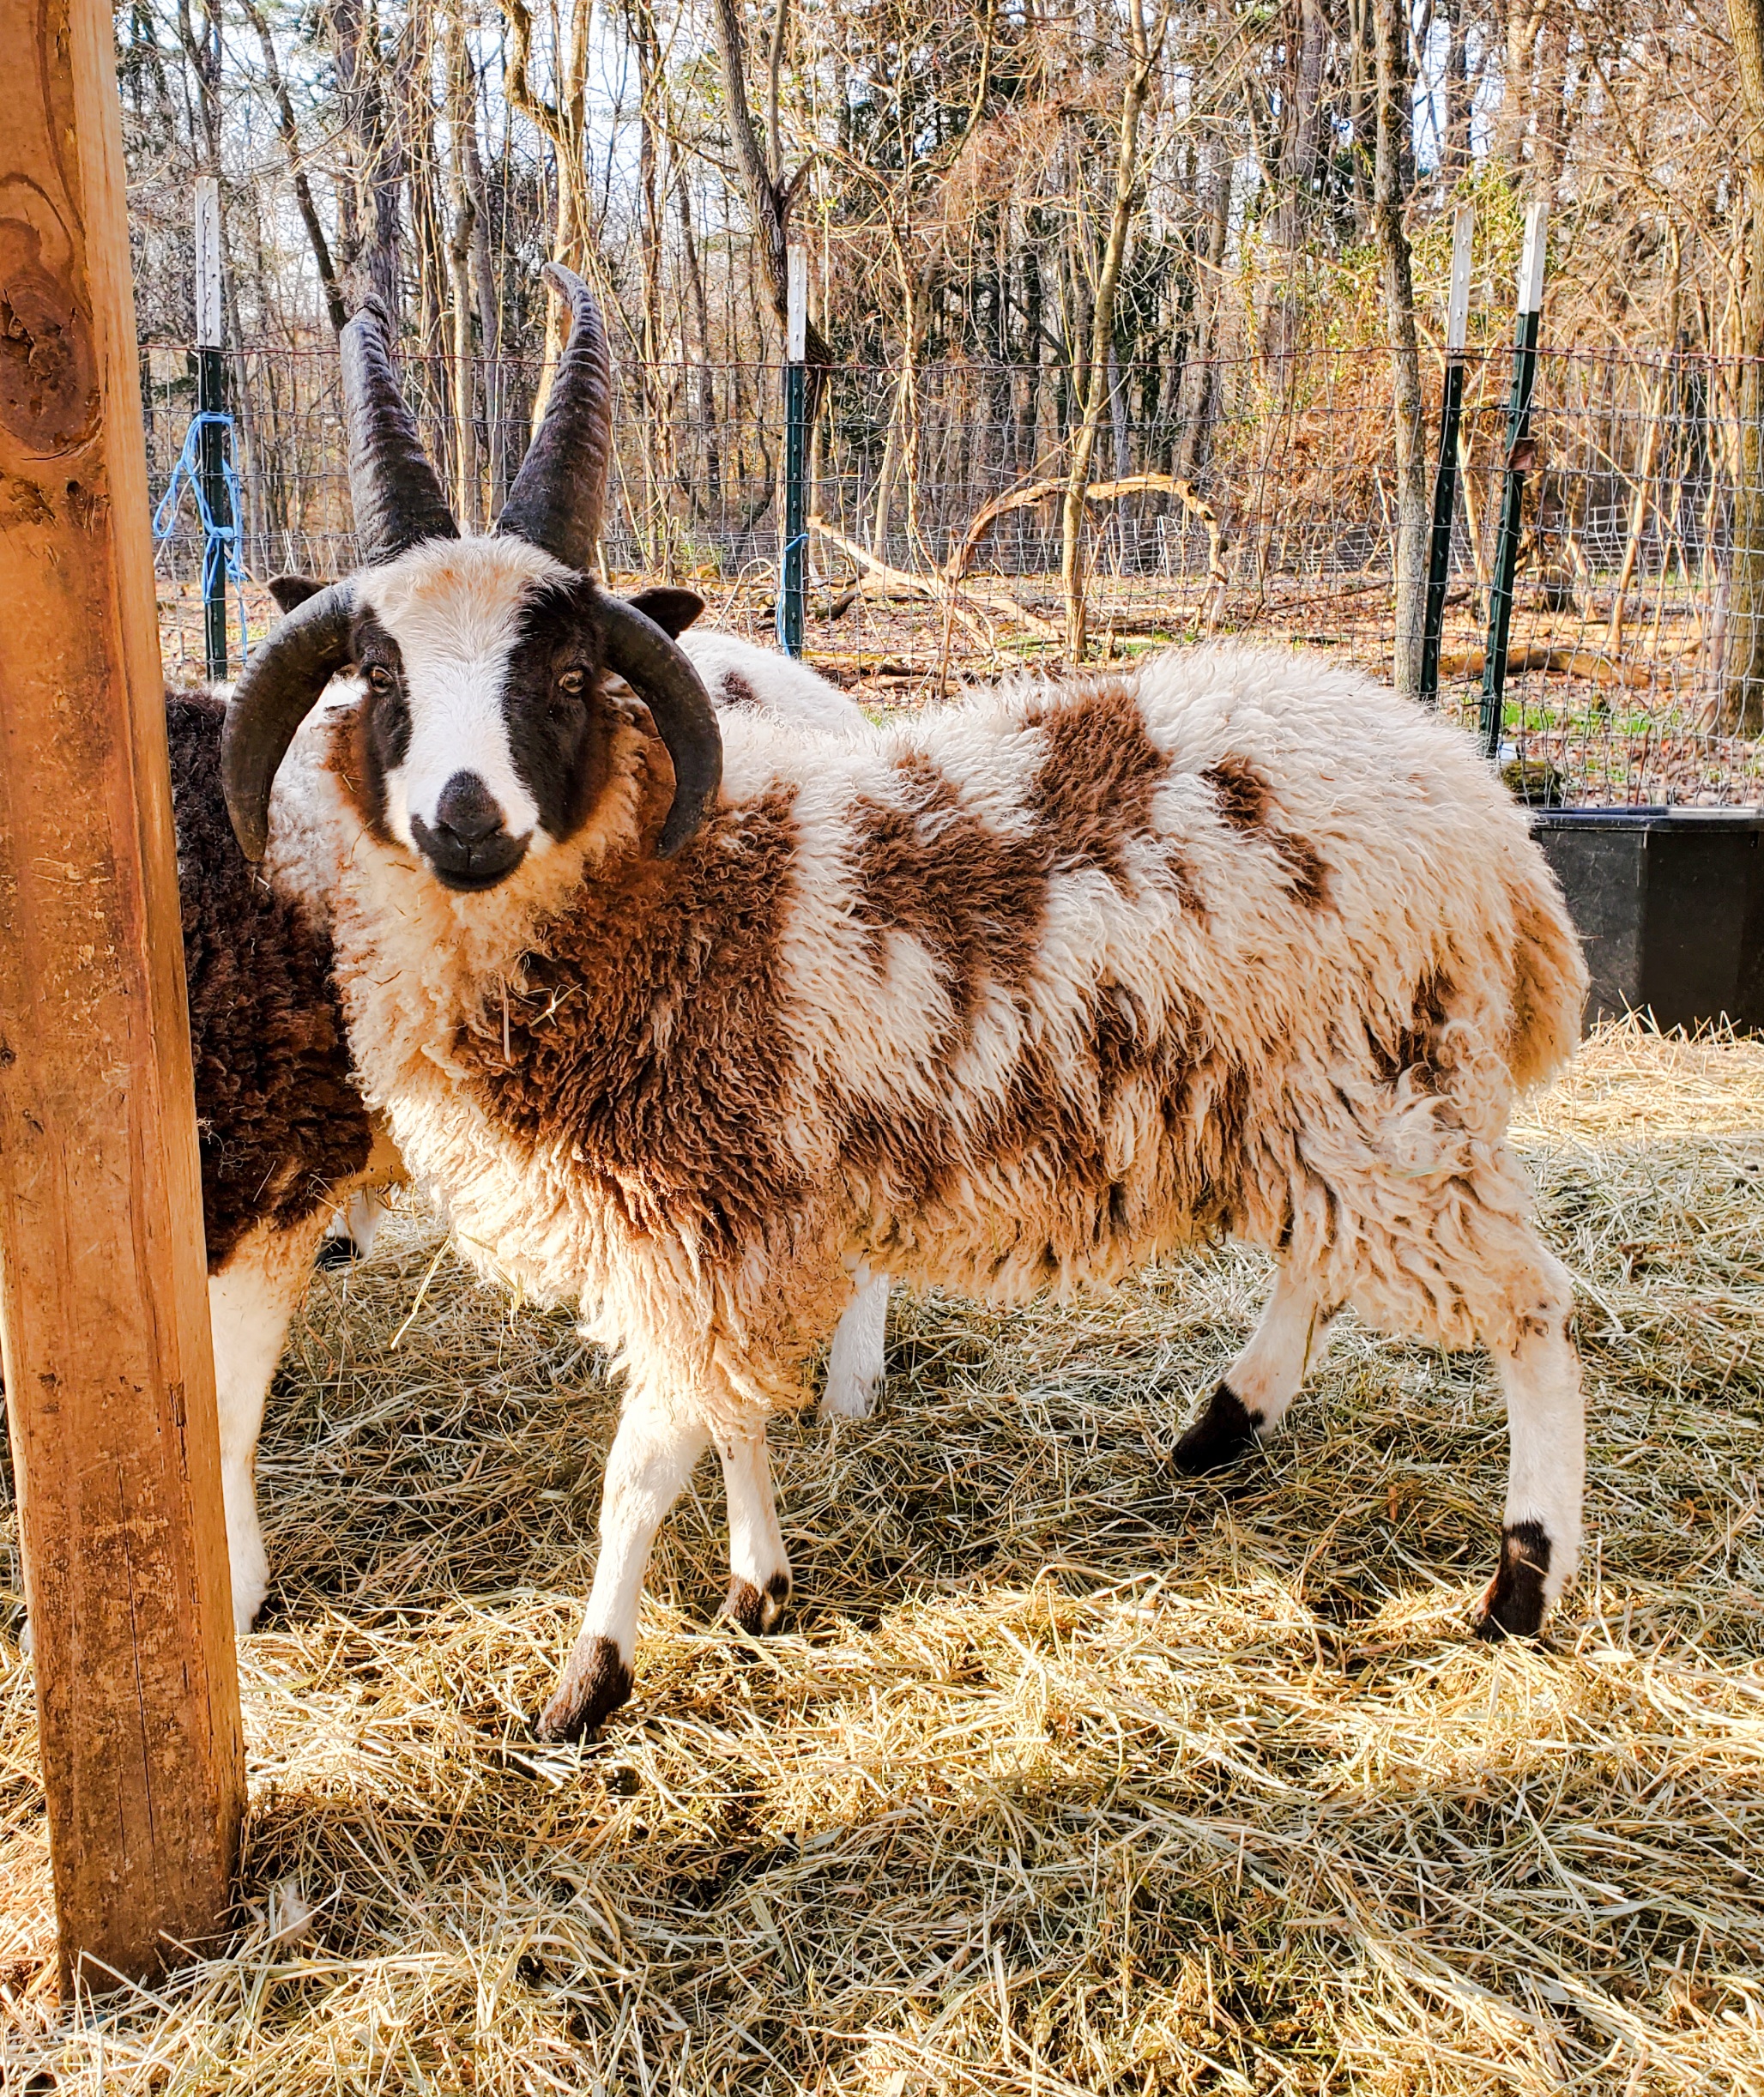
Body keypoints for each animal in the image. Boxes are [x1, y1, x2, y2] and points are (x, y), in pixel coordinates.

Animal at [220, 267, 1590, 1742]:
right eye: (380, 676)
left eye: (570, 677)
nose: (465, 821)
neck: (660, 894)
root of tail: (1485, 810)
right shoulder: (733, 1221)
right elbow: (732, 1411)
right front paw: (758, 1590)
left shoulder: (696, 1218)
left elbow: (646, 1465)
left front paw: (589, 1684)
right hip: (1323, 1108)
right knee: (1322, 1269)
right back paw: (1224, 1423)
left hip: (1392, 1099)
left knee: (1531, 1309)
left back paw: (1521, 1587)